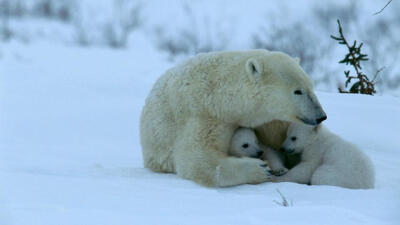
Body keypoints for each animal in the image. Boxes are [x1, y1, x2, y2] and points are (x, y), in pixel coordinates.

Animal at [139, 49, 326, 186]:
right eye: (298, 91)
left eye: (311, 86)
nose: (321, 116)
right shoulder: (205, 115)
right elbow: (197, 159)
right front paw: (260, 169)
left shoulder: (268, 120)